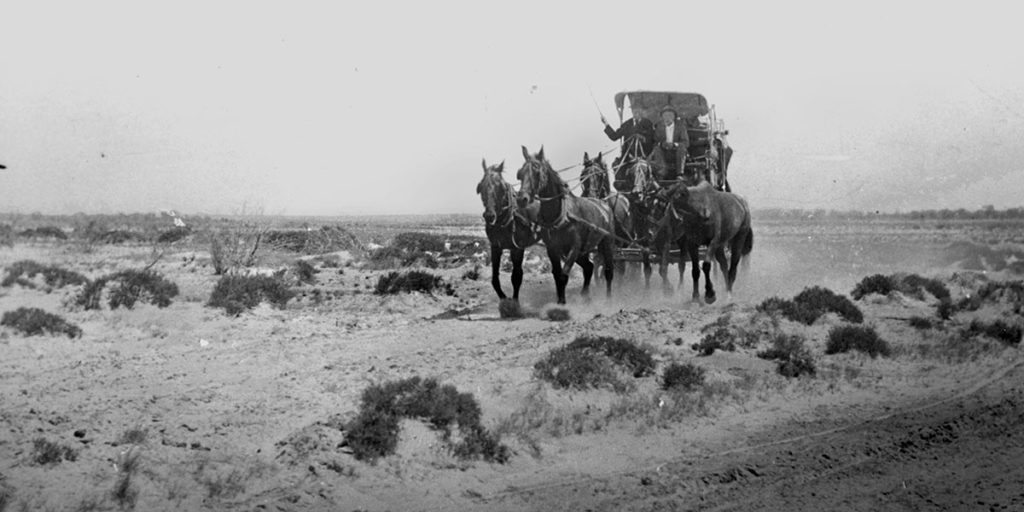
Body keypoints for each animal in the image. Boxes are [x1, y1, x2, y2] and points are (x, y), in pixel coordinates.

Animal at [475, 157, 540, 301]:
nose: (489, 216)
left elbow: (516, 277)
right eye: (481, 186)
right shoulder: (495, 247)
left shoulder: (517, 248)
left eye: (500, 187)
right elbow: (495, 279)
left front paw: (514, 302)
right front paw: (503, 298)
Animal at [516, 145, 610, 303]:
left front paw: (562, 303)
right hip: (582, 252)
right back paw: (585, 295)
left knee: (607, 268)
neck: (561, 216)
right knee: (589, 267)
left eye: (536, 171)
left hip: (605, 245)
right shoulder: (553, 249)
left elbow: (563, 276)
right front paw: (560, 301)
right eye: (520, 174)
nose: (521, 199)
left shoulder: (573, 248)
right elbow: (556, 276)